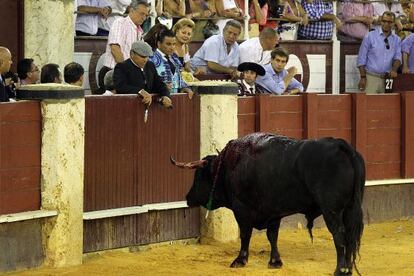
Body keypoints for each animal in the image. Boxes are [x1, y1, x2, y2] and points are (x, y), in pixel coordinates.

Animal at [170, 133, 364, 274]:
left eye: (198, 176)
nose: (188, 197)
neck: (227, 165)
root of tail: (340, 145)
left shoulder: (241, 208)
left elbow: (246, 234)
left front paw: (240, 260)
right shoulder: (274, 212)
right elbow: (272, 236)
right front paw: (275, 261)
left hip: (332, 210)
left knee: (339, 235)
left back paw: (340, 269)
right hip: (350, 209)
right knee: (349, 235)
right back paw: (347, 269)